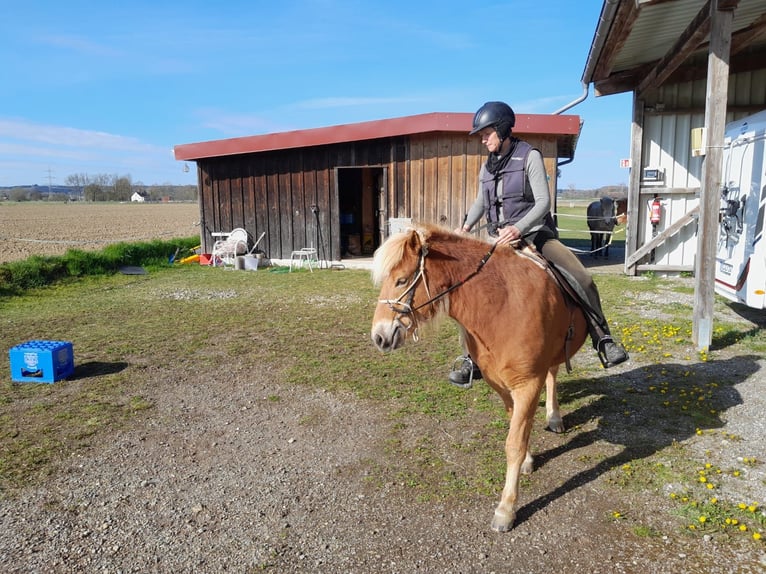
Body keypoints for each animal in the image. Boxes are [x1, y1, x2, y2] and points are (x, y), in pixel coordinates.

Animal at [370, 224, 588, 532]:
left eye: (401, 280)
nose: (378, 337)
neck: (501, 306)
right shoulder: (502, 385)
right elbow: (517, 430)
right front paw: (528, 459)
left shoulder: (528, 384)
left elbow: (514, 444)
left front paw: (506, 510)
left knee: (553, 374)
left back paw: (555, 417)